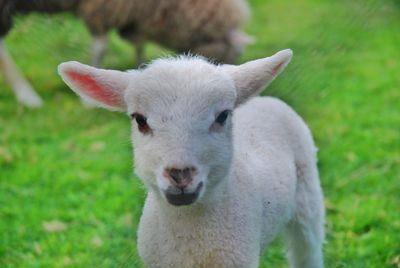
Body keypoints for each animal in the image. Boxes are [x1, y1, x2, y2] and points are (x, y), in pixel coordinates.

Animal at [0, 0, 250, 108]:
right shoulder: (102, 8)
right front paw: (87, 102)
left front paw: (141, 66)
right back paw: (28, 96)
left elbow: (138, 43)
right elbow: (100, 46)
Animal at [57, 48, 324, 268]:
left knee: (307, 250)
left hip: (307, 193)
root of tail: (265, 99)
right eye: (140, 120)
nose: (180, 174)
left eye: (223, 116)